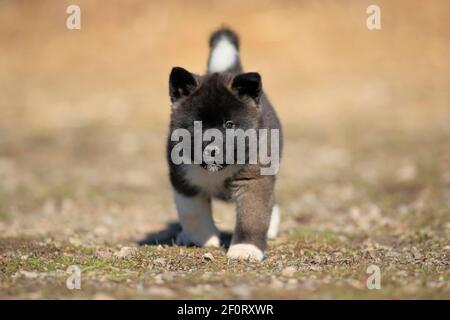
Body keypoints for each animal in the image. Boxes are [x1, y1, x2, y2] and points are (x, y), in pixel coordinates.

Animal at [167, 27, 284, 262]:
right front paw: (204, 239)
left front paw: (246, 249)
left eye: (229, 124)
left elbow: (253, 215)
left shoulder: (255, 179)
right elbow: (191, 212)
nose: (212, 150)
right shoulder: (182, 178)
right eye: (198, 124)